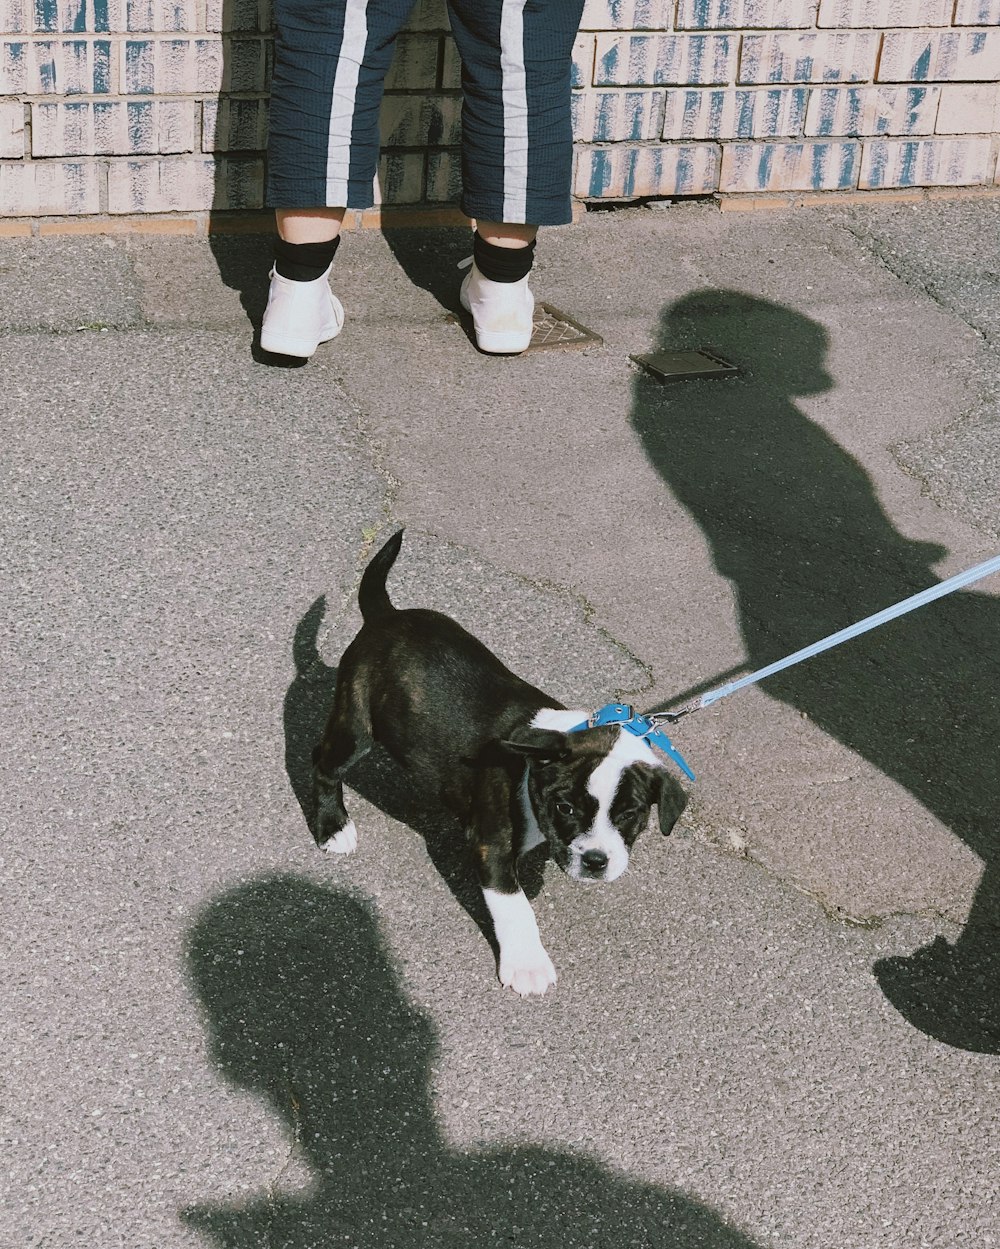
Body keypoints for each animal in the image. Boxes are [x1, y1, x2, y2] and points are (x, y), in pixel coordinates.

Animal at [312, 529, 689, 994]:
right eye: (564, 808)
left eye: (631, 815)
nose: (596, 861)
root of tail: (386, 615)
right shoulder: (490, 845)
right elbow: (515, 905)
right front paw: (527, 964)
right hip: (355, 726)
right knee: (323, 764)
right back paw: (333, 827)